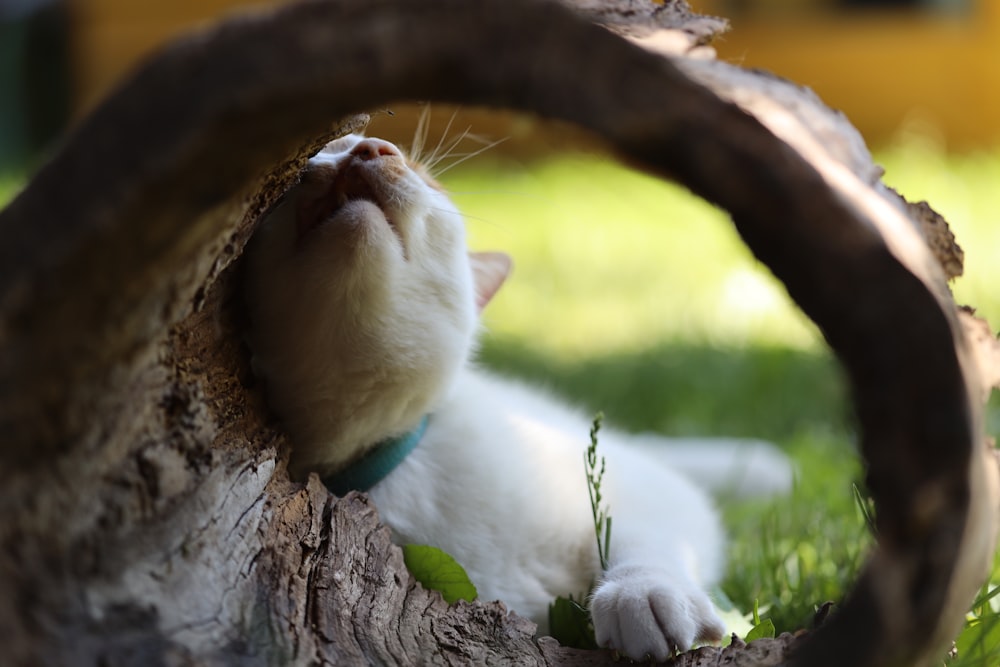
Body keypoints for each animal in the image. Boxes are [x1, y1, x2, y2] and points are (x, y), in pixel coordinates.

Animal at [246, 133, 792, 660]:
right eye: (318, 152)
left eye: (428, 179)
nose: (367, 149)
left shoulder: (650, 490)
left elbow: (646, 535)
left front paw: (642, 594)